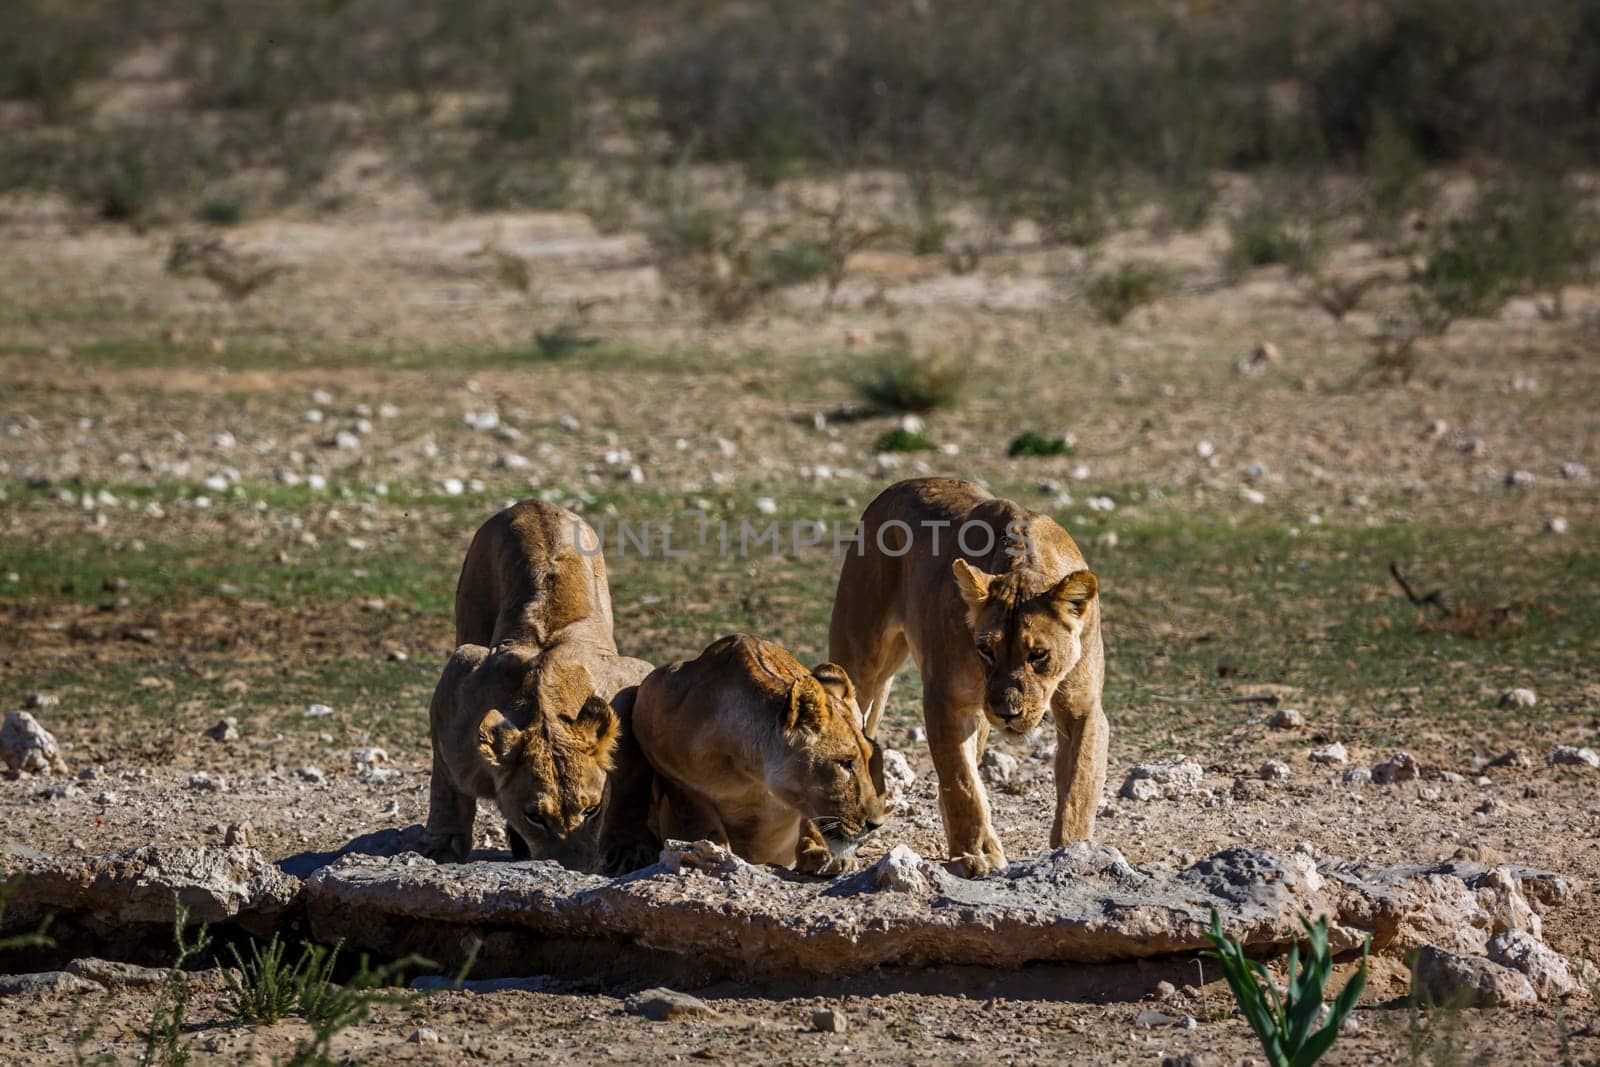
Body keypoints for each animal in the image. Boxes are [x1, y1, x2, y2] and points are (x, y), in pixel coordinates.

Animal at [425, 502, 656, 870]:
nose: (573, 869)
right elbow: (447, 784)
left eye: (592, 810)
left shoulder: (629, 683)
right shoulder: (460, 681)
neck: (545, 703)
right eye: (535, 816)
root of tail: (534, 503)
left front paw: (629, 849)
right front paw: (441, 846)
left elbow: (634, 780)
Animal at [601, 633, 896, 876]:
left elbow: (809, 817)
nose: (876, 824)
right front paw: (714, 854)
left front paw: (821, 852)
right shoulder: (663, 747)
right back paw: (628, 852)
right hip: (626, 699)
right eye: (845, 763)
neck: (751, 772)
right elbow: (698, 815)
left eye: (868, 760)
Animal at [825, 479, 1100, 883]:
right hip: (861, 661)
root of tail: (898, 486)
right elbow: (961, 781)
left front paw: (1072, 851)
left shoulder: (1083, 708)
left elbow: (1079, 785)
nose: (1007, 711)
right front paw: (977, 855)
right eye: (986, 650)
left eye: (1038, 654)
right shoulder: (945, 700)